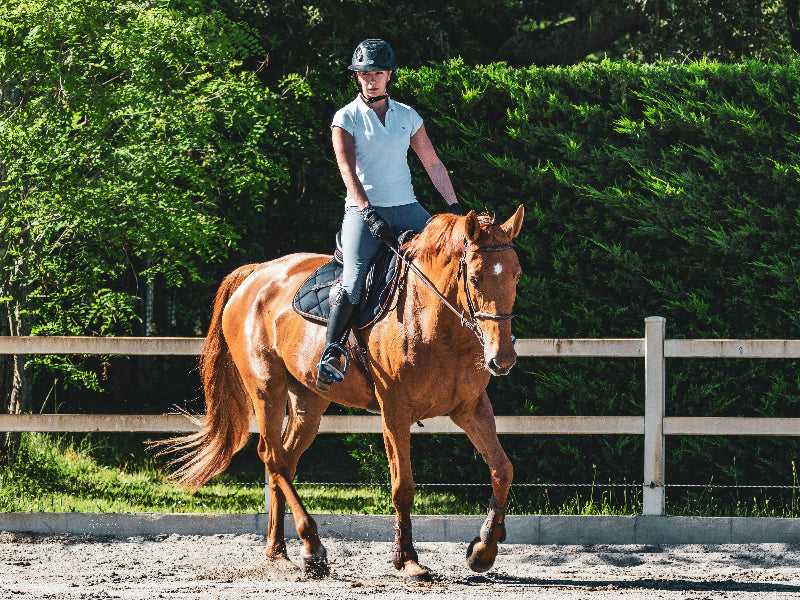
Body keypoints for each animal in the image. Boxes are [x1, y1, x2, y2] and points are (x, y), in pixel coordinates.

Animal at [159, 206, 524, 582]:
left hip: (308, 401)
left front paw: (483, 550)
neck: (435, 322)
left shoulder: (471, 408)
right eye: (476, 278)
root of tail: (255, 274)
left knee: (285, 460)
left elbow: (503, 470)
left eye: (516, 276)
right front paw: (408, 560)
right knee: (272, 456)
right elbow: (403, 486)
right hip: (266, 388)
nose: (502, 359)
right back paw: (312, 545)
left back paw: (280, 553)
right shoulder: (395, 410)